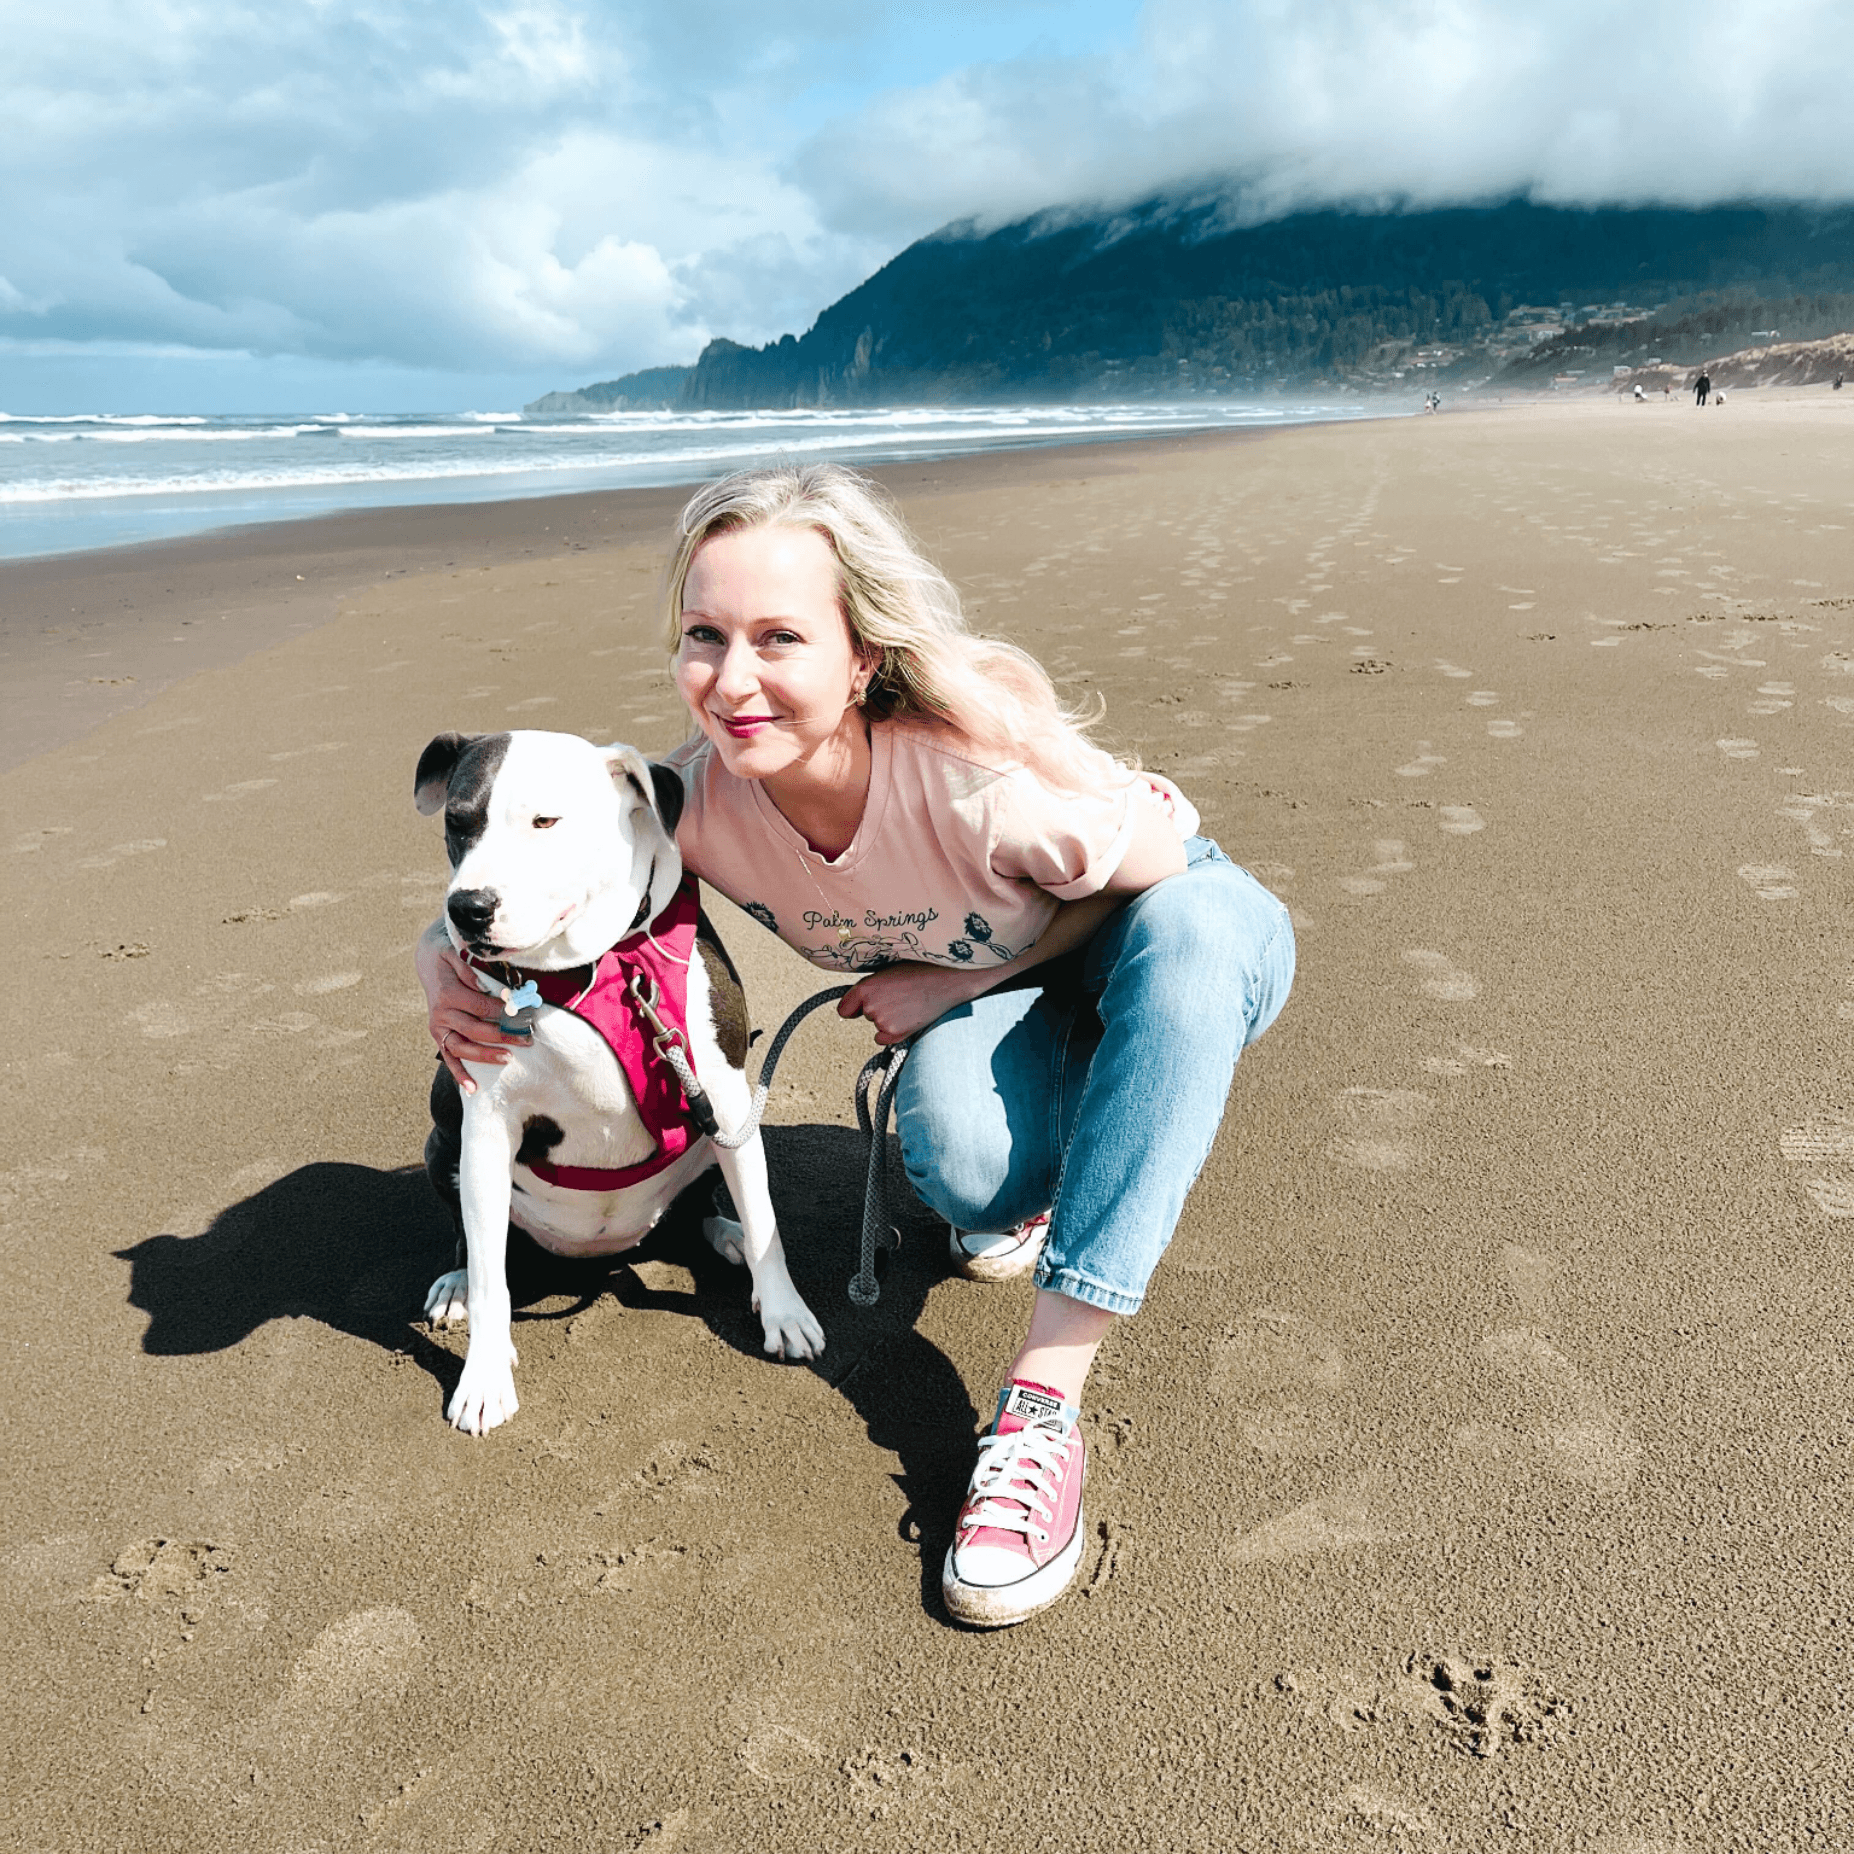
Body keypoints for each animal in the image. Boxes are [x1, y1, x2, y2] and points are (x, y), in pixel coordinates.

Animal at [424, 723, 830, 1431]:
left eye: (546, 820)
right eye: (457, 822)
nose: (468, 908)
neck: (584, 968)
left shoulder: (728, 1098)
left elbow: (765, 1219)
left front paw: (783, 1311)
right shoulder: (486, 1127)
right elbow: (490, 1275)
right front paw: (483, 1375)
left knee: (706, 1204)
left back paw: (726, 1236)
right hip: (442, 1136)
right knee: (471, 1241)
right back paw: (455, 1288)